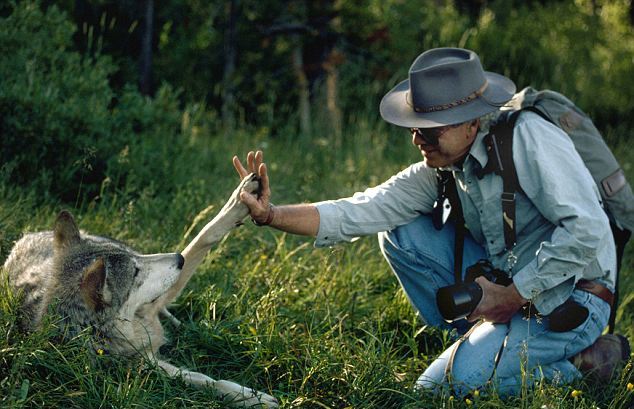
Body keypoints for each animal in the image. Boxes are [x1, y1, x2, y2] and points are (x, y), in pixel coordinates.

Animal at [3, 174, 276, 406]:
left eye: (135, 260)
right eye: (135, 273)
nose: (178, 259)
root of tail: (29, 235)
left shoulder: (156, 301)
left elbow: (205, 236)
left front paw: (241, 198)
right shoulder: (145, 365)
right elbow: (203, 380)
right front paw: (252, 398)